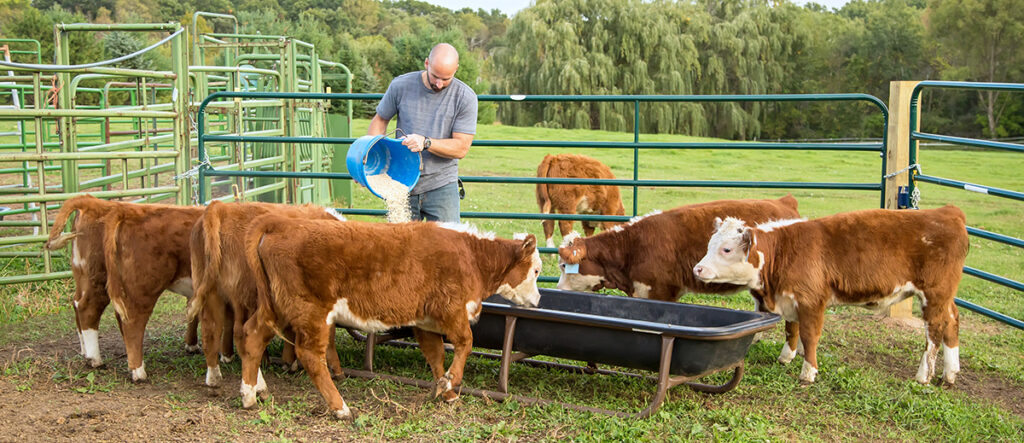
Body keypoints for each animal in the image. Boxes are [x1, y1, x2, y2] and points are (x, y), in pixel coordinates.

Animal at [45, 194, 202, 380]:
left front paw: (192, 345)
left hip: (90, 276)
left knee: (81, 304)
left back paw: (89, 355)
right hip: (142, 287)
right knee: (129, 319)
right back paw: (133, 370)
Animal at [189, 198, 352, 384]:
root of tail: (221, 207)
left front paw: (289, 362)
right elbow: (329, 336)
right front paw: (336, 370)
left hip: (213, 292)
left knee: (211, 330)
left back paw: (215, 376)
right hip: (245, 295)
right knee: (241, 332)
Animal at [240, 218, 544, 419]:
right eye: (537, 270)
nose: (538, 300)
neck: (471, 256)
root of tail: (279, 225)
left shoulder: (425, 321)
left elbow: (436, 355)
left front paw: (444, 392)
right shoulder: (451, 310)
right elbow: (465, 343)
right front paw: (450, 382)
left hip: (276, 308)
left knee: (252, 336)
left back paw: (251, 394)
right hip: (310, 312)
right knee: (310, 356)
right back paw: (341, 408)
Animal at [692, 204, 962, 382]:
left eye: (727, 249)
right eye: (709, 245)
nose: (698, 268)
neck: (784, 250)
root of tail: (947, 211)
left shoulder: (811, 300)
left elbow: (809, 335)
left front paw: (808, 372)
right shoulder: (790, 298)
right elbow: (792, 329)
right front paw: (786, 357)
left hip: (934, 295)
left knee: (934, 331)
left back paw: (924, 375)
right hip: (945, 298)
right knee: (952, 321)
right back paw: (950, 373)